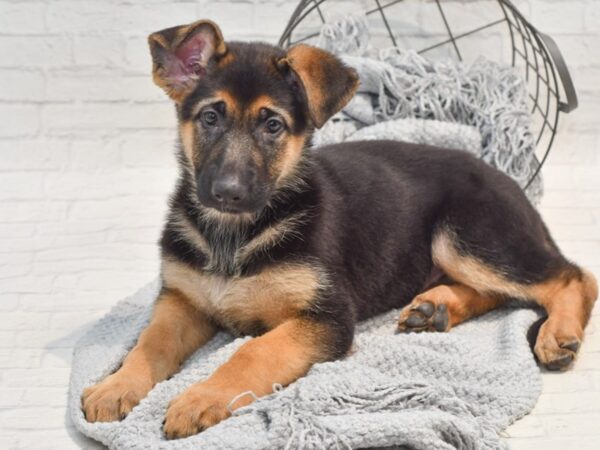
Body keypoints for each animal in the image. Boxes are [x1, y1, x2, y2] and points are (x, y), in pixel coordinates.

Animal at [81, 19, 600, 438]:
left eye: (272, 125)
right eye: (210, 117)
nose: (227, 192)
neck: (236, 232)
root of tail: (506, 177)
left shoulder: (327, 317)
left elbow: (252, 352)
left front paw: (201, 397)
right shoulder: (182, 300)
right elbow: (150, 342)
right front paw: (116, 385)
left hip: (468, 235)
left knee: (570, 276)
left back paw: (556, 334)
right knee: (504, 290)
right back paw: (435, 308)